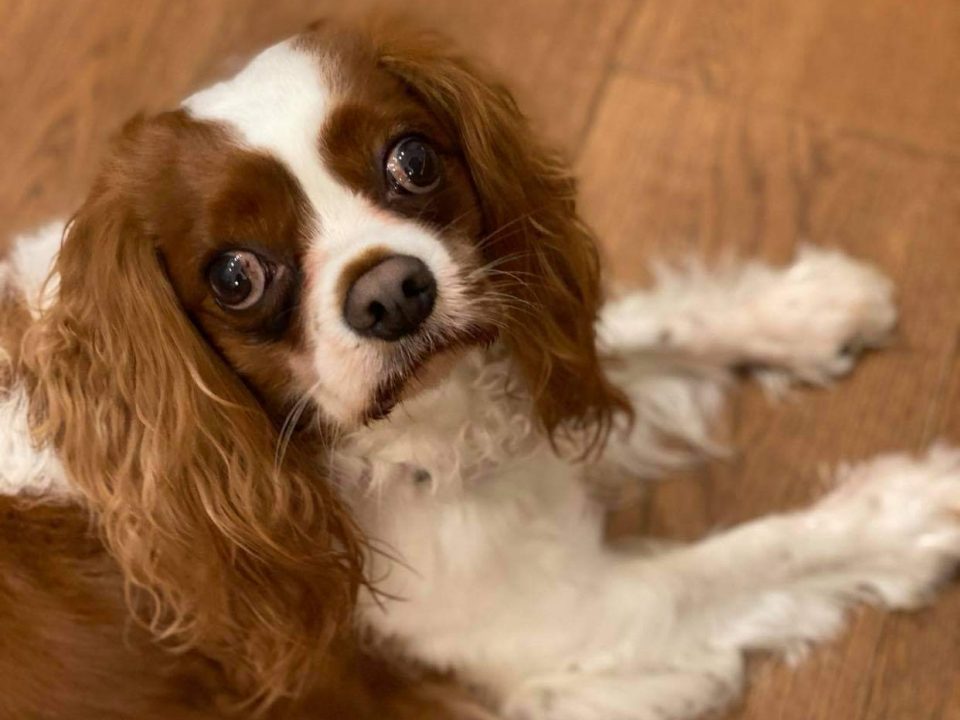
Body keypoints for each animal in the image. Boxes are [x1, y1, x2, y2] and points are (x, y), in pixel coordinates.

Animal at [5, 15, 960, 720]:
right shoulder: (581, 628)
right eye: (236, 276)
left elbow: (645, 326)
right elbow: (760, 549)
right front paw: (911, 507)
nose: (393, 294)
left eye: (413, 158)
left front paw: (801, 309)